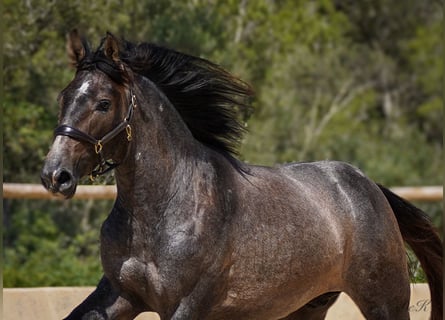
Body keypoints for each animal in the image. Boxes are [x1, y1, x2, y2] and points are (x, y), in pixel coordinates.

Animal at [40, 30, 440, 320]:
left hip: (384, 301)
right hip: (307, 306)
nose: (55, 175)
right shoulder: (119, 294)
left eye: (103, 104)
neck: (161, 209)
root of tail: (367, 187)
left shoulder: (186, 304)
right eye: (63, 97)